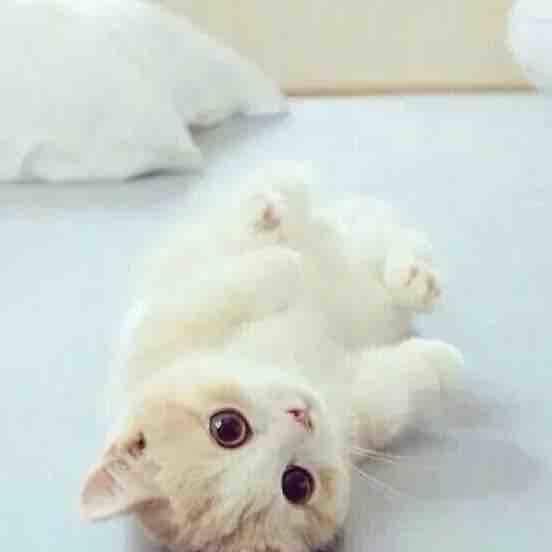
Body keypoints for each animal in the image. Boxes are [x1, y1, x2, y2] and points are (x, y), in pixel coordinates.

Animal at [80, 164, 463, 552]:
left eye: (227, 427)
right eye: (296, 484)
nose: (301, 416)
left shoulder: (160, 326)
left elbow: (222, 290)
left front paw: (285, 263)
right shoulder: (354, 414)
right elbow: (396, 391)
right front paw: (445, 361)